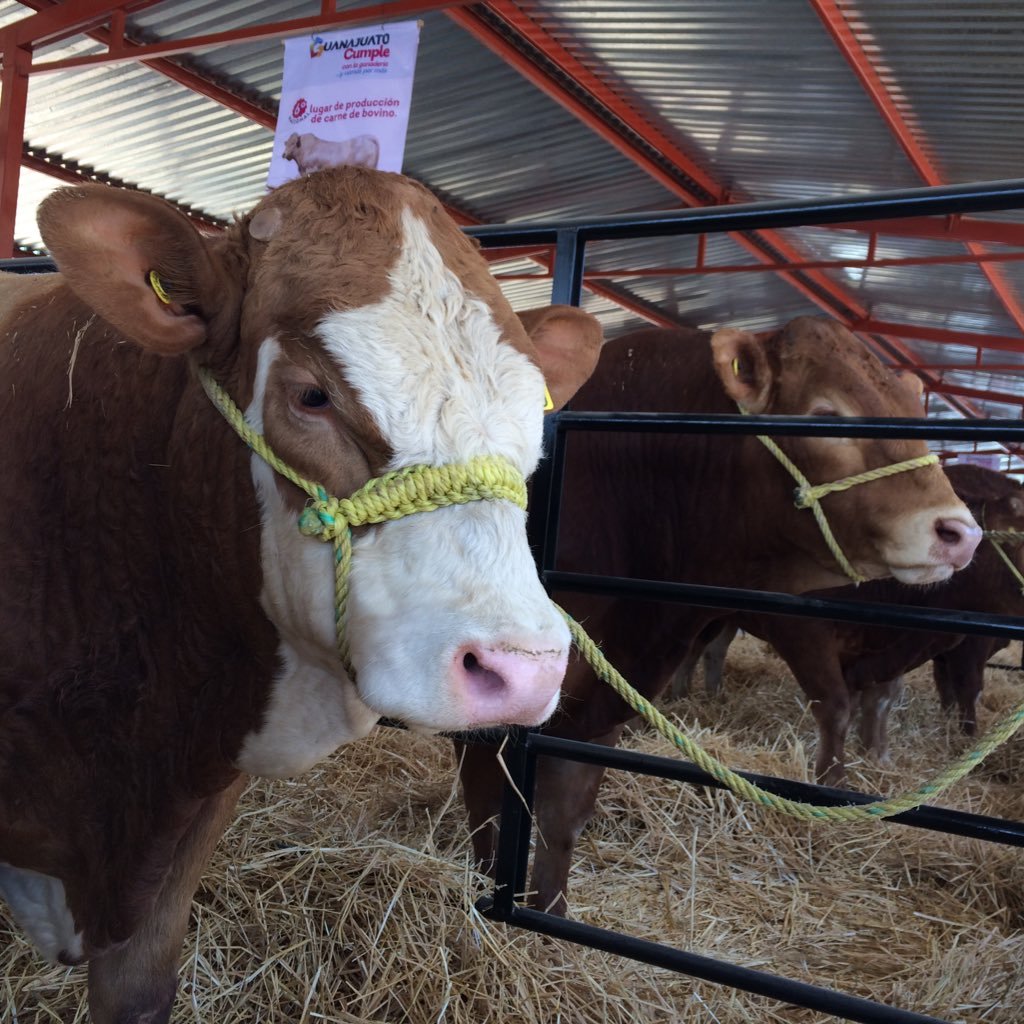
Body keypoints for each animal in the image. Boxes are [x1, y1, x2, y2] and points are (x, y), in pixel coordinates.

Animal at [458, 317, 983, 913]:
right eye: (825, 414)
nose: (960, 532)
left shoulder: (597, 708)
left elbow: (561, 823)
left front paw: (547, 916)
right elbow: (489, 818)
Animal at [671, 460, 1024, 778]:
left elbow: (878, 701)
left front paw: (876, 756)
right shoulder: (802, 631)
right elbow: (836, 705)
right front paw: (833, 775)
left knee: (714, 649)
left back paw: (713, 694)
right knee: (693, 647)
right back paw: (680, 695)